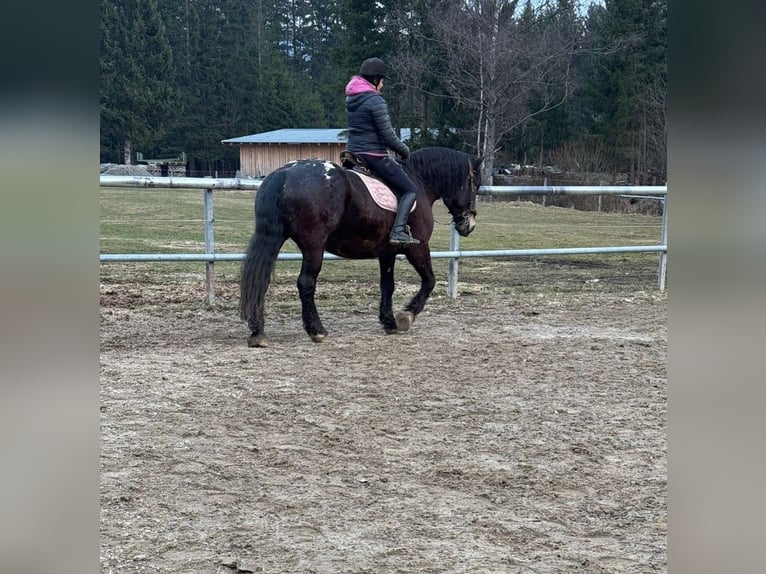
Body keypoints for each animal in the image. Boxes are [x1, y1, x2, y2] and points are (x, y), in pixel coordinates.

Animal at [239, 147, 483, 347]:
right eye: (476, 184)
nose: (469, 225)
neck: (419, 183)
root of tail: (284, 174)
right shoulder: (418, 247)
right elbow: (429, 281)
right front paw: (406, 317)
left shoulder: (387, 252)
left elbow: (387, 286)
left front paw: (389, 322)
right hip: (313, 247)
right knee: (306, 283)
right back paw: (317, 330)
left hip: (274, 239)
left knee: (260, 280)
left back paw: (257, 333)